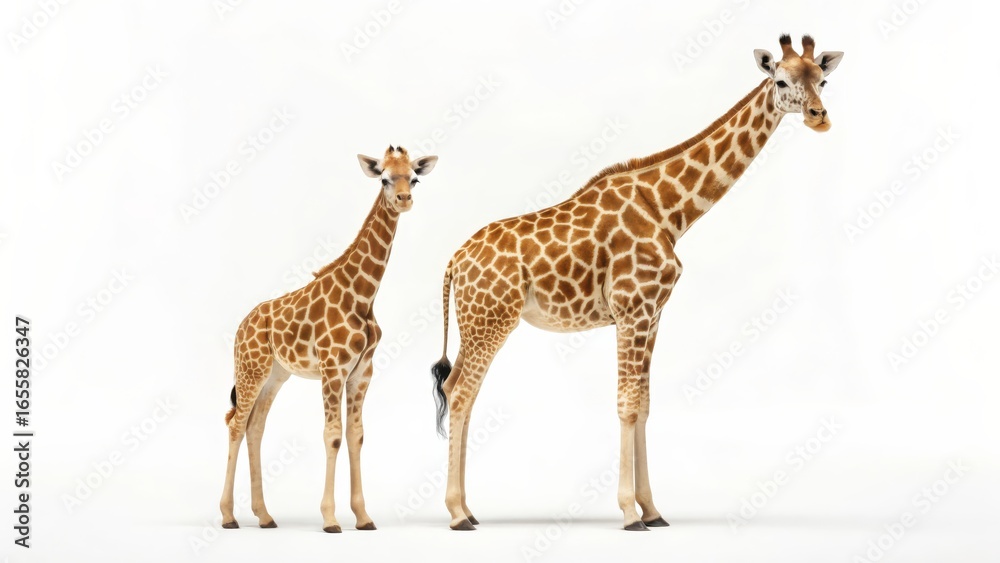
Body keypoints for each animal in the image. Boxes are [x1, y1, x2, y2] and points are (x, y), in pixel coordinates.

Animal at [220, 146, 438, 533]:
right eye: (384, 178)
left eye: (414, 178)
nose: (404, 200)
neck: (364, 297)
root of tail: (242, 327)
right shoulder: (333, 368)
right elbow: (332, 435)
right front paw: (330, 518)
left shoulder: (362, 371)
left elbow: (355, 435)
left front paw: (363, 517)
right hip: (250, 369)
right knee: (235, 424)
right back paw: (229, 516)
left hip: (275, 374)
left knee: (255, 426)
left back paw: (264, 515)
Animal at [430, 35, 843, 531]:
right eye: (781, 80)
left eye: (823, 80)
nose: (820, 117)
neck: (668, 211)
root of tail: (455, 261)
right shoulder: (633, 308)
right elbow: (627, 403)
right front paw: (629, 513)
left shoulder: (653, 312)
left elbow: (644, 404)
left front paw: (653, 510)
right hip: (489, 321)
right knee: (460, 393)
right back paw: (457, 513)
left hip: (480, 323)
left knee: (460, 393)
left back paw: (469, 509)